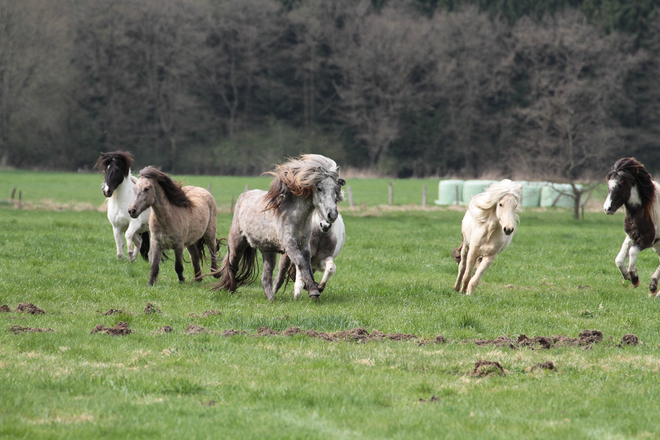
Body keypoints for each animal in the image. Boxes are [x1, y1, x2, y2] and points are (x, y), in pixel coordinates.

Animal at [215, 153, 348, 300]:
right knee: (232, 264)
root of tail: (244, 195)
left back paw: (271, 298)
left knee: (266, 277)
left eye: (336, 190)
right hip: (237, 243)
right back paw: (230, 288)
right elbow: (301, 263)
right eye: (319, 188)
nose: (332, 215)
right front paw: (313, 291)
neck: (294, 217)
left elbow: (306, 265)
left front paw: (313, 289)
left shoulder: (304, 246)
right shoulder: (290, 244)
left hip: (268, 251)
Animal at [604, 156, 660, 298]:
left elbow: (633, 251)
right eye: (609, 185)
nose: (607, 209)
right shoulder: (631, 236)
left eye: (620, 185)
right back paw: (654, 288)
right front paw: (627, 276)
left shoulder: (648, 239)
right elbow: (619, 259)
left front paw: (634, 278)